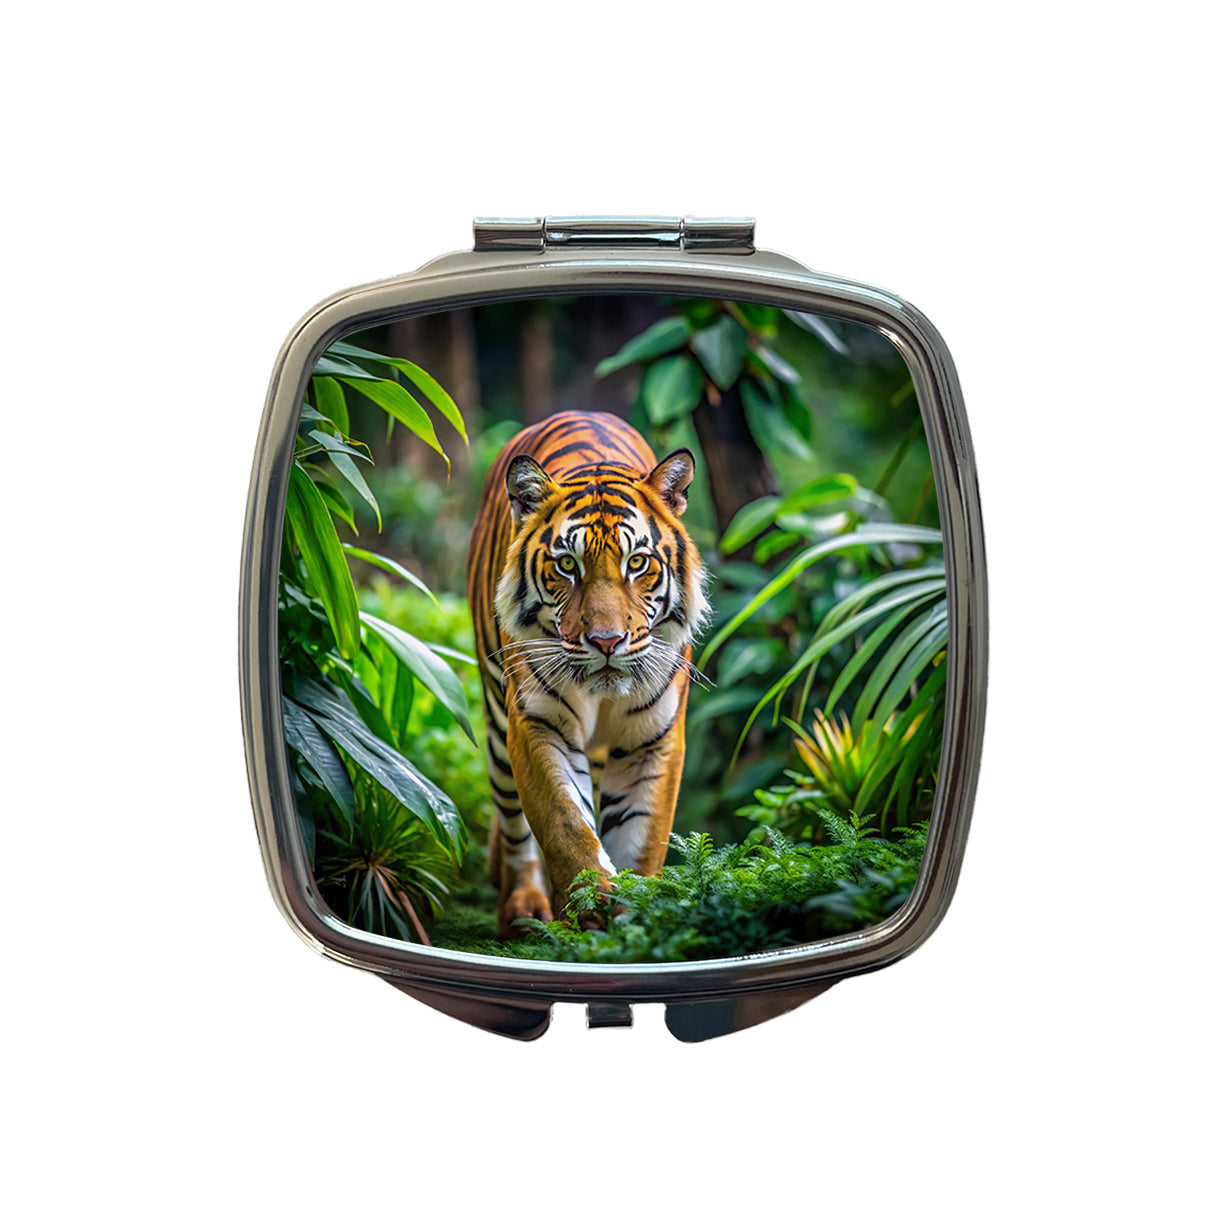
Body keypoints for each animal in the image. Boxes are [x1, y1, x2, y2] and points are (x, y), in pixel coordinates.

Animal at [466, 410, 710, 938]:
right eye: (566, 565)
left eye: (637, 562)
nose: (606, 642)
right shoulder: (538, 724)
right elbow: (565, 822)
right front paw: (590, 907)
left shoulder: (652, 740)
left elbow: (641, 838)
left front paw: (634, 919)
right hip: (497, 724)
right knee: (514, 824)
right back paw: (523, 906)